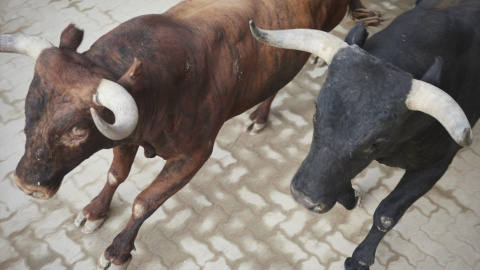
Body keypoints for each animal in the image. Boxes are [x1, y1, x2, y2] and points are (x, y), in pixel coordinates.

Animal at [0, 0, 378, 268]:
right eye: (28, 107)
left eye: (78, 130)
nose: (26, 184)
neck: (158, 89)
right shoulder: (126, 137)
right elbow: (115, 174)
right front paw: (94, 211)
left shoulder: (194, 155)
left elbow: (145, 202)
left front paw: (118, 251)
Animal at [249, 0, 478, 268]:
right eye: (316, 112)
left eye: (376, 142)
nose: (305, 198)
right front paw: (351, 197)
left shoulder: (434, 165)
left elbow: (387, 213)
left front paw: (360, 258)